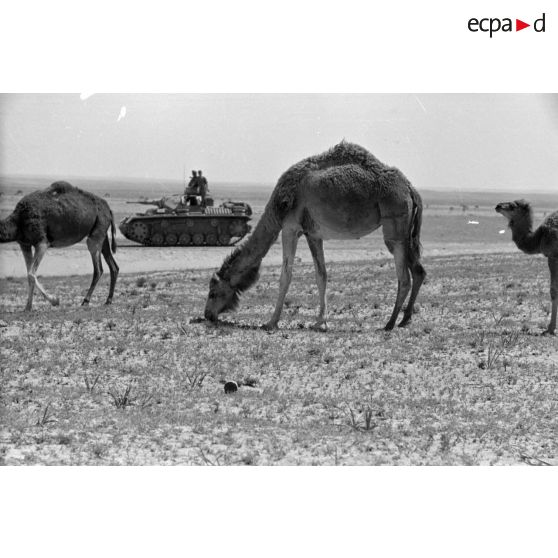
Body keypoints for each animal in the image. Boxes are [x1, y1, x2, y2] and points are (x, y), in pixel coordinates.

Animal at [203, 141, 426, 332]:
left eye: (213, 293)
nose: (207, 315)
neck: (278, 208)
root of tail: (410, 188)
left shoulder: (290, 228)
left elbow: (286, 276)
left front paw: (271, 322)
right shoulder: (313, 234)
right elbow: (321, 275)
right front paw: (321, 322)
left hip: (395, 223)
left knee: (404, 276)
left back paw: (390, 323)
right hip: (406, 231)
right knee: (418, 271)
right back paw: (405, 320)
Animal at [498, 199, 558, 334]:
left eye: (512, 206)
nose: (498, 206)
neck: (538, 237)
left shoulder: (552, 256)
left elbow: (553, 290)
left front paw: (550, 328)